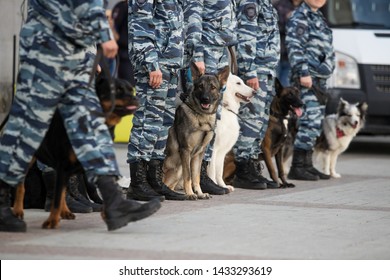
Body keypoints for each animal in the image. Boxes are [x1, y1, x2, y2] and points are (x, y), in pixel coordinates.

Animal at [12, 71, 139, 229]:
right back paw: (17, 211)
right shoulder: (63, 164)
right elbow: (56, 197)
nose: (135, 97)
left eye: (131, 90)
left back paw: (66, 212)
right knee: (22, 185)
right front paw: (51, 221)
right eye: (116, 90)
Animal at [163, 62, 230, 200]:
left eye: (213, 87)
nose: (205, 99)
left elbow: (196, 176)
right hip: (177, 166)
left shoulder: (199, 154)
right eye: (200, 86)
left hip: (178, 170)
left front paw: (199, 193)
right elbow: (188, 176)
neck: (201, 117)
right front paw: (190, 193)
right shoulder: (185, 150)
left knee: (171, 186)